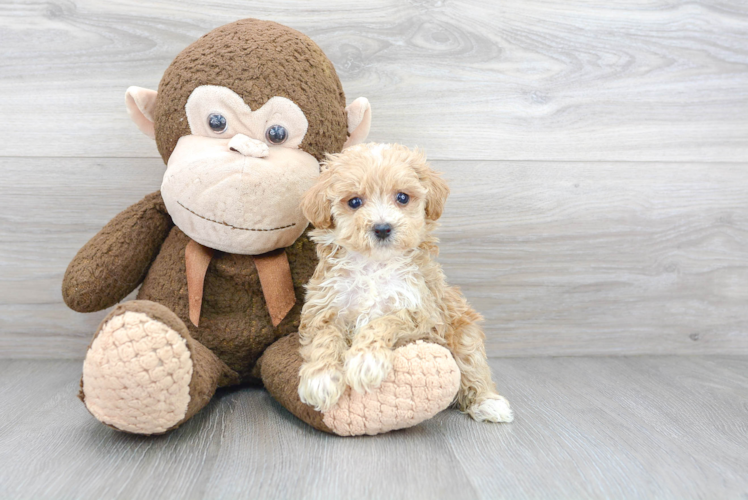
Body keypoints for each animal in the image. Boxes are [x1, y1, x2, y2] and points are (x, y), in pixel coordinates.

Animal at [298, 143, 516, 424]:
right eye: (355, 202)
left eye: (402, 198)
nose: (382, 228)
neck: (374, 265)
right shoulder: (324, 309)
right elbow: (325, 337)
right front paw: (321, 378)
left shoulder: (423, 312)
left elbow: (384, 321)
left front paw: (365, 361)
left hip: (463, 332)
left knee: (473, 366)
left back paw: (488, 402)